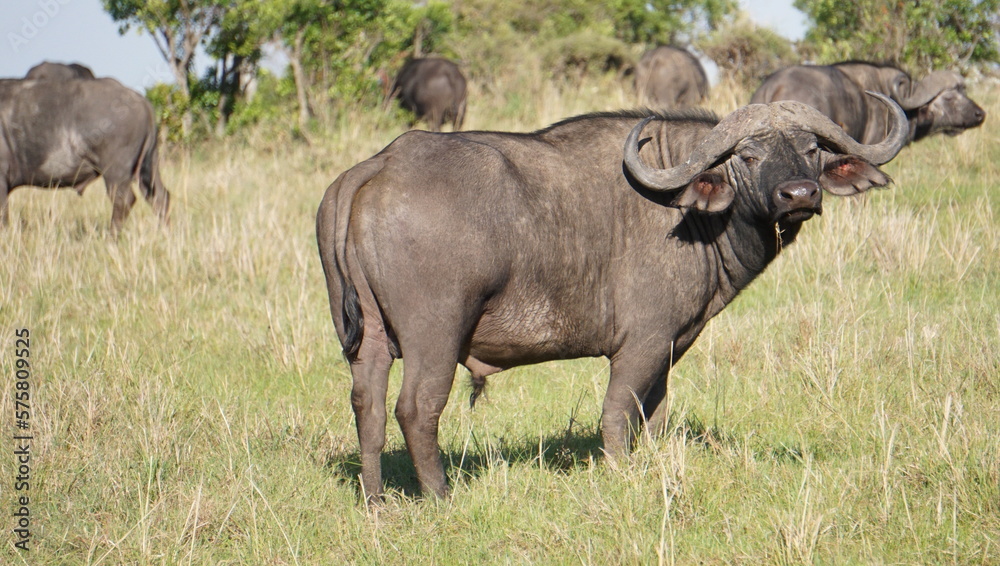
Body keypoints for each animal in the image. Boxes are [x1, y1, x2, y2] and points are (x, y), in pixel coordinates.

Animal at [0, 77, 170, 233]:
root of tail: (140, 100)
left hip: (116, 172)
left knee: (124, 199)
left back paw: (112, 237)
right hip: (148, 165)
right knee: (159, 197)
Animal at [316, 93, 912, 506]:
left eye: (811, 149)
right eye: (747, 154)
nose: (799, 195)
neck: (686, 209)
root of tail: (379, 164)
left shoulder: (669, 348)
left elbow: (657, 415)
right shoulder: (641, 344)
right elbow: (616, 415)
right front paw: (621, 477)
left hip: (368, 342)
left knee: (367, 408)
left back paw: (375, 501)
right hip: (435, 336)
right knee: (417, 409)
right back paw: (441, 497)